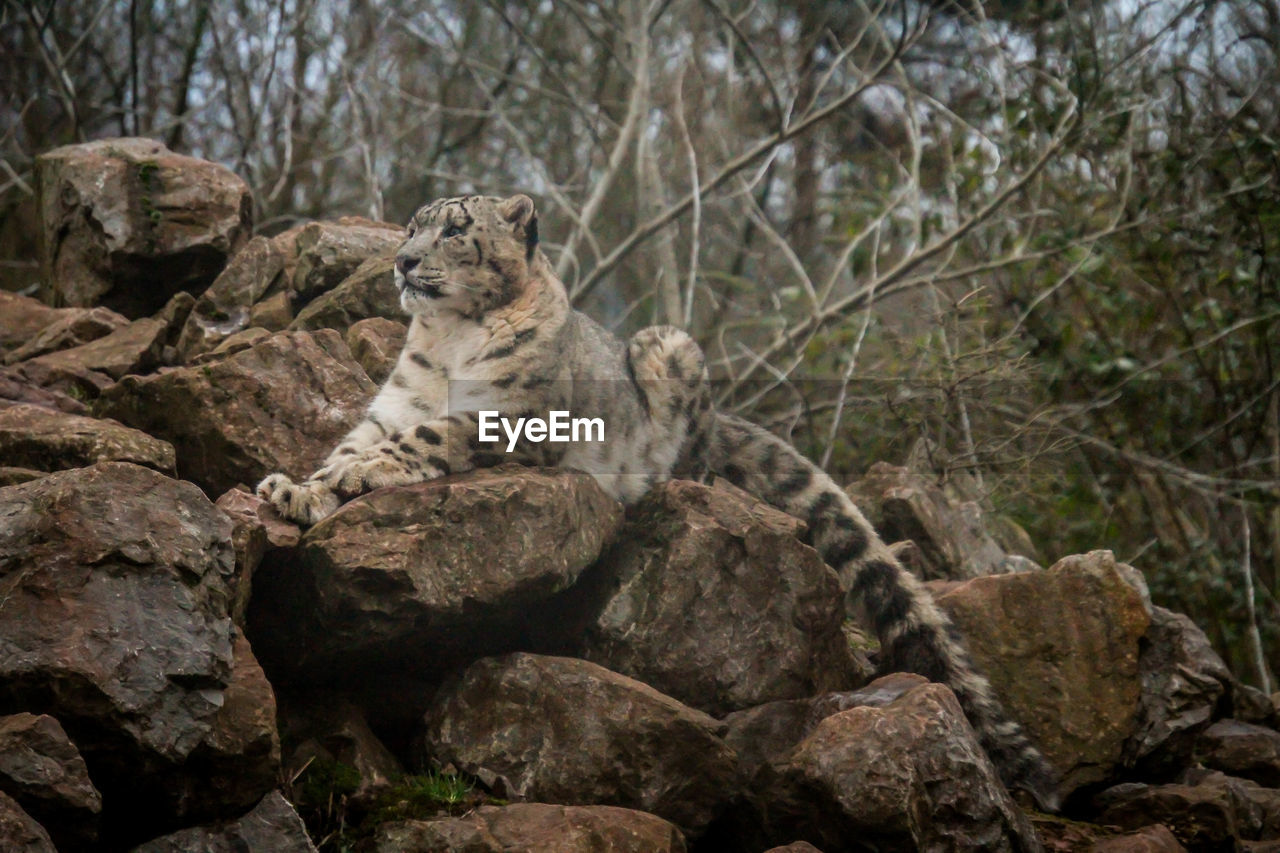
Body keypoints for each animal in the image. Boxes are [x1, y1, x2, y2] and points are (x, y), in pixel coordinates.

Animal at [259, 190, 1059, 804]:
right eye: (411, 225)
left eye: (454, 230)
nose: (402, 261)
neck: (449, 341)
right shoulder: (394, 405)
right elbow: (355, 443)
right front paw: (295, 489)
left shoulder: (506, 418)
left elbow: (418, 442)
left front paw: (350, 479)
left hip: (667, 349)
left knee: (698, 455)